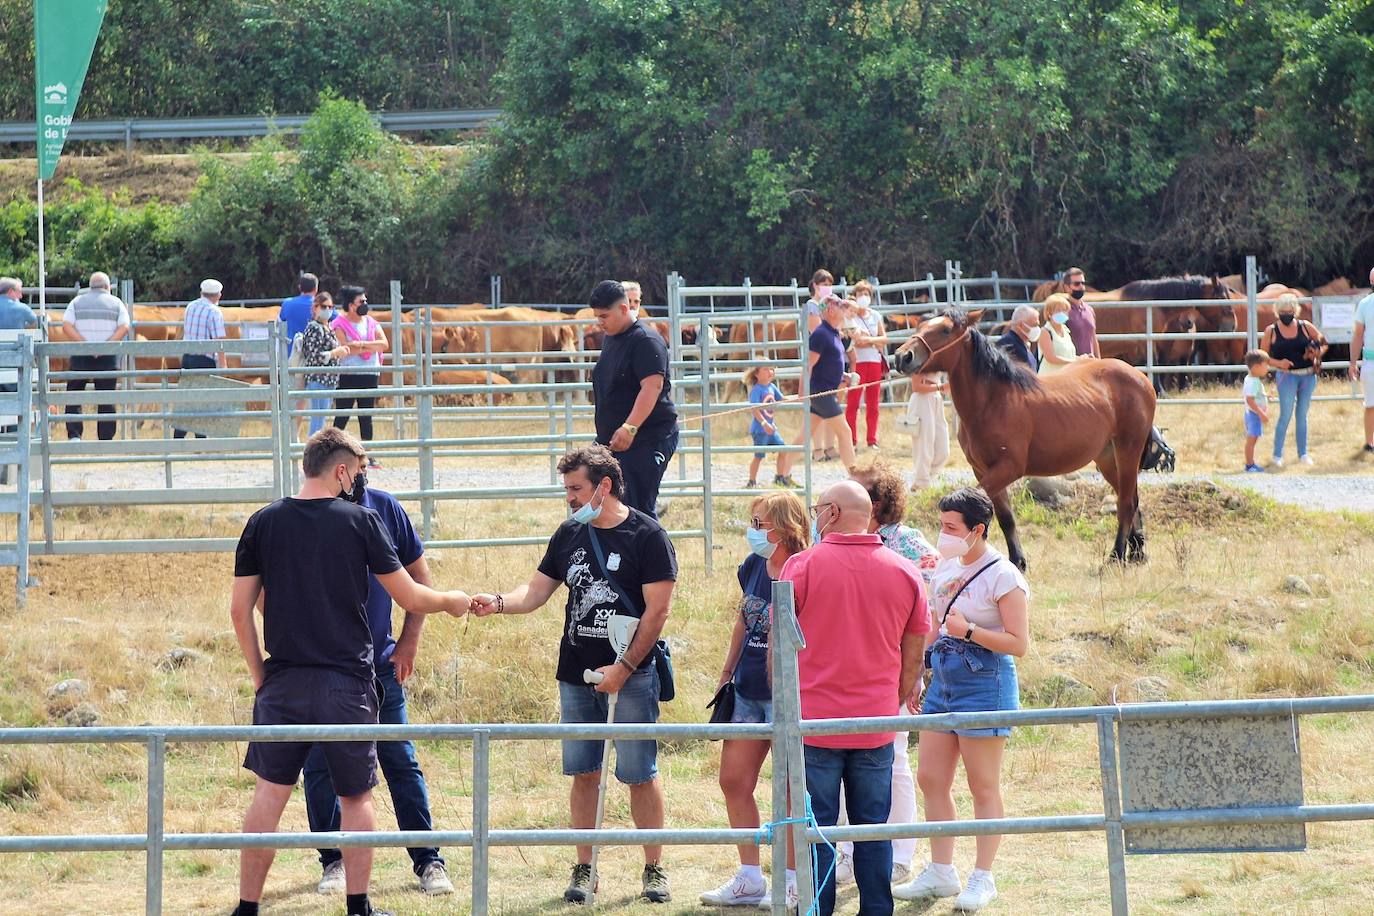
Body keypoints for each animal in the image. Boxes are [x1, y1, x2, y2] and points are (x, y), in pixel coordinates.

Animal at [890, 311, 1159, 568]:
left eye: (945, 330)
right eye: (920, 326)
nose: (903, 356)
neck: (992, 401)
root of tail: (1140, 377)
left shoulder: (1008, 468)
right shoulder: (983, 469)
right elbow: (1006, 518)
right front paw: (1017, 561)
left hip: (1128, 450)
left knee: (1126, 503)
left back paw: (1116, 555)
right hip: (1107, 458)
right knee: (1132, 499)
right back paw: (1137, 553)